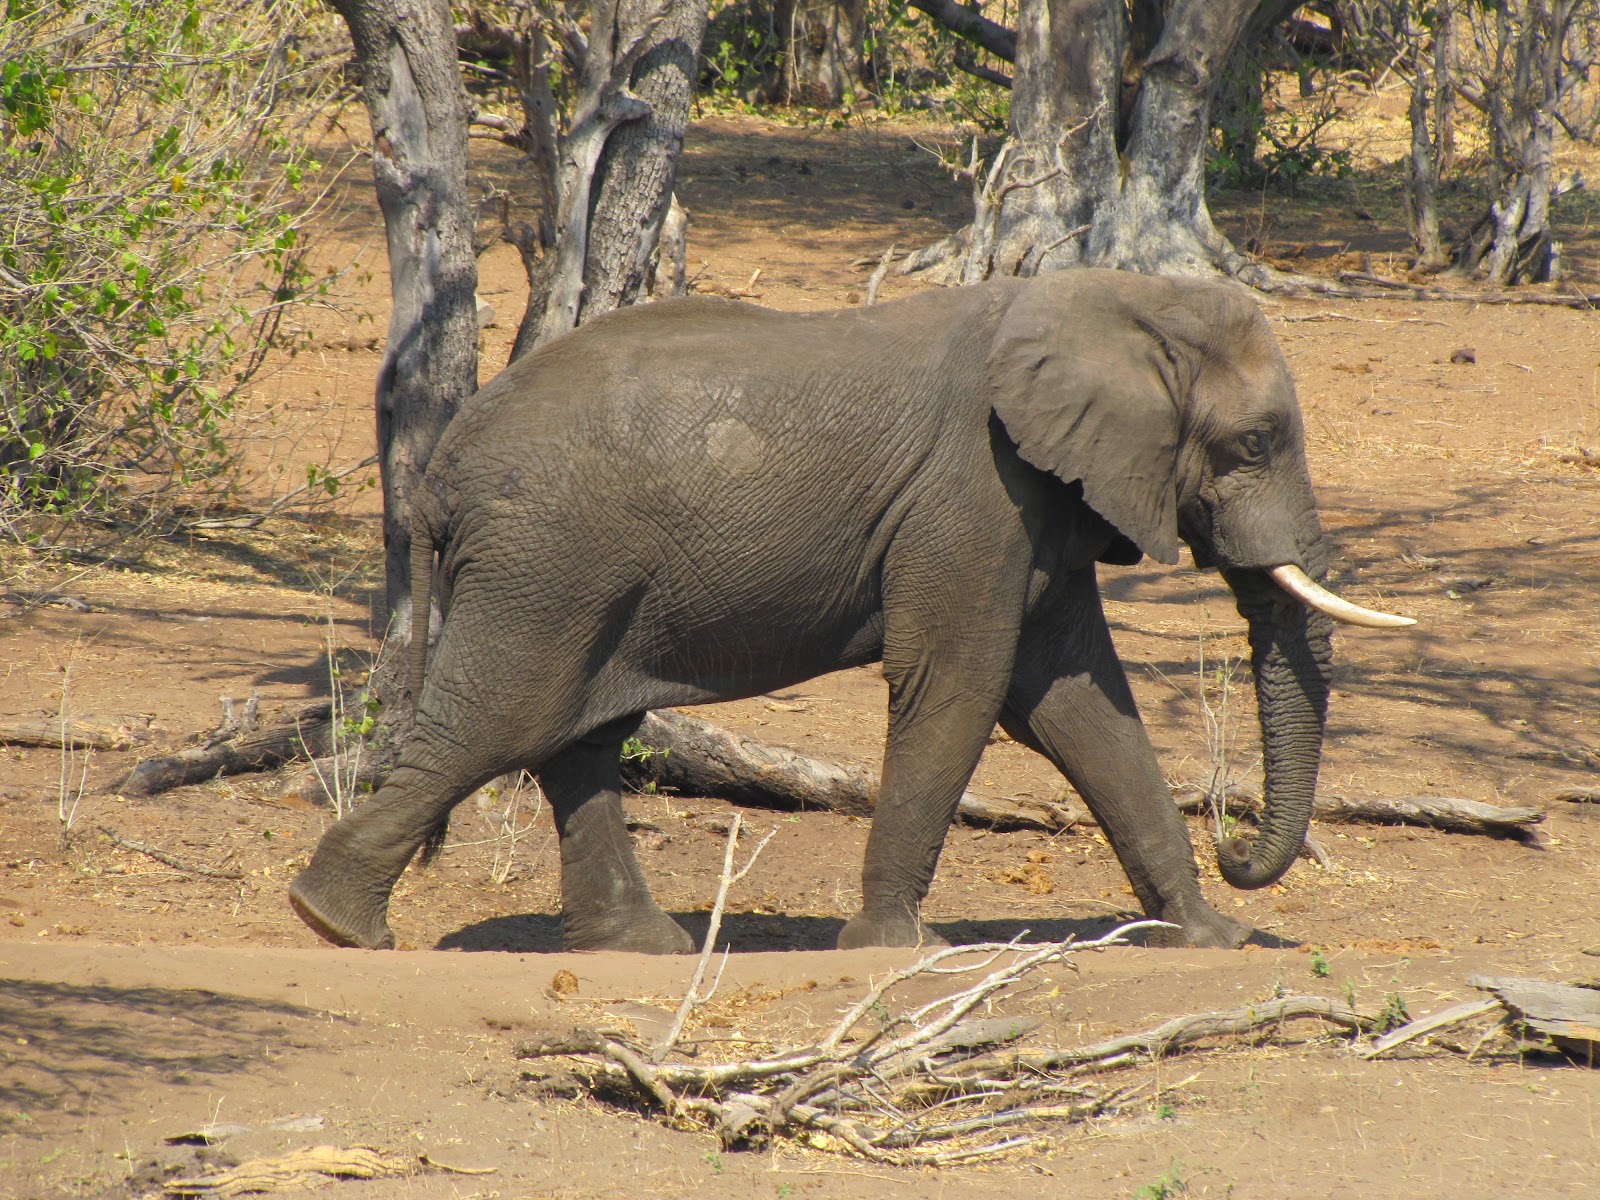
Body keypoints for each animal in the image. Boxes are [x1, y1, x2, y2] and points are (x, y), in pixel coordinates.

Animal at [289, 268, 1411, 955]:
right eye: (1254, 444)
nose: (1238, 850)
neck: (1116, 297)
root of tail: (437, 481)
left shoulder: (1038, 504)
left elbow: (1079, 705)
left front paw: (1208, 942)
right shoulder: (977, 491)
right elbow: (962, 687)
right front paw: (893, 951)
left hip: (573, 573)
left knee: (577, 739)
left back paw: (643, 951)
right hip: (547, 562)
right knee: (505, 723)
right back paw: (335, 925)